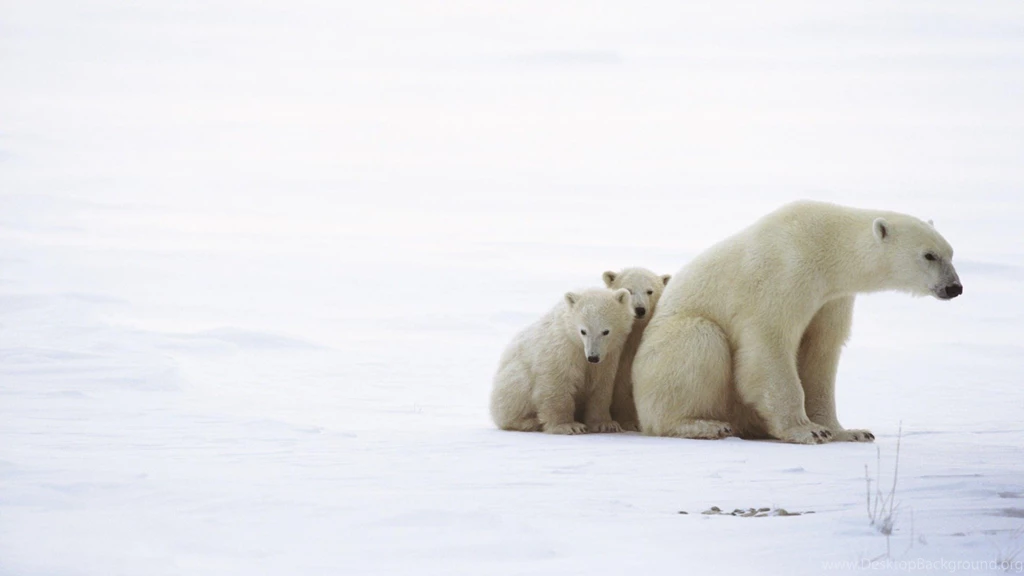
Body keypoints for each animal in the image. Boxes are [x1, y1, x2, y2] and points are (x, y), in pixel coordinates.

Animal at [490, 288, 636, 434]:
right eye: (583, 331)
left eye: (606, 331)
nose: (593, 357)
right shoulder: (562, 348)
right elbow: (557, 381)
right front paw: (569, 426)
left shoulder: (609, 356)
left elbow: (601, 386)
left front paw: (606, 424)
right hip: (513, 379)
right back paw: (529, 422)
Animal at [632, 200, 962, 444]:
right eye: (929, 255)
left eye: (950, 253)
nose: (954, 287)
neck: (825, 245)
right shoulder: (784, 274)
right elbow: (770, 345)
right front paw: (808, 430)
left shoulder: (831, 298)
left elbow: (821, 352)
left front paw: (849, 431)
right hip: (667, 346)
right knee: (699, 340)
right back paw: (703, 425)